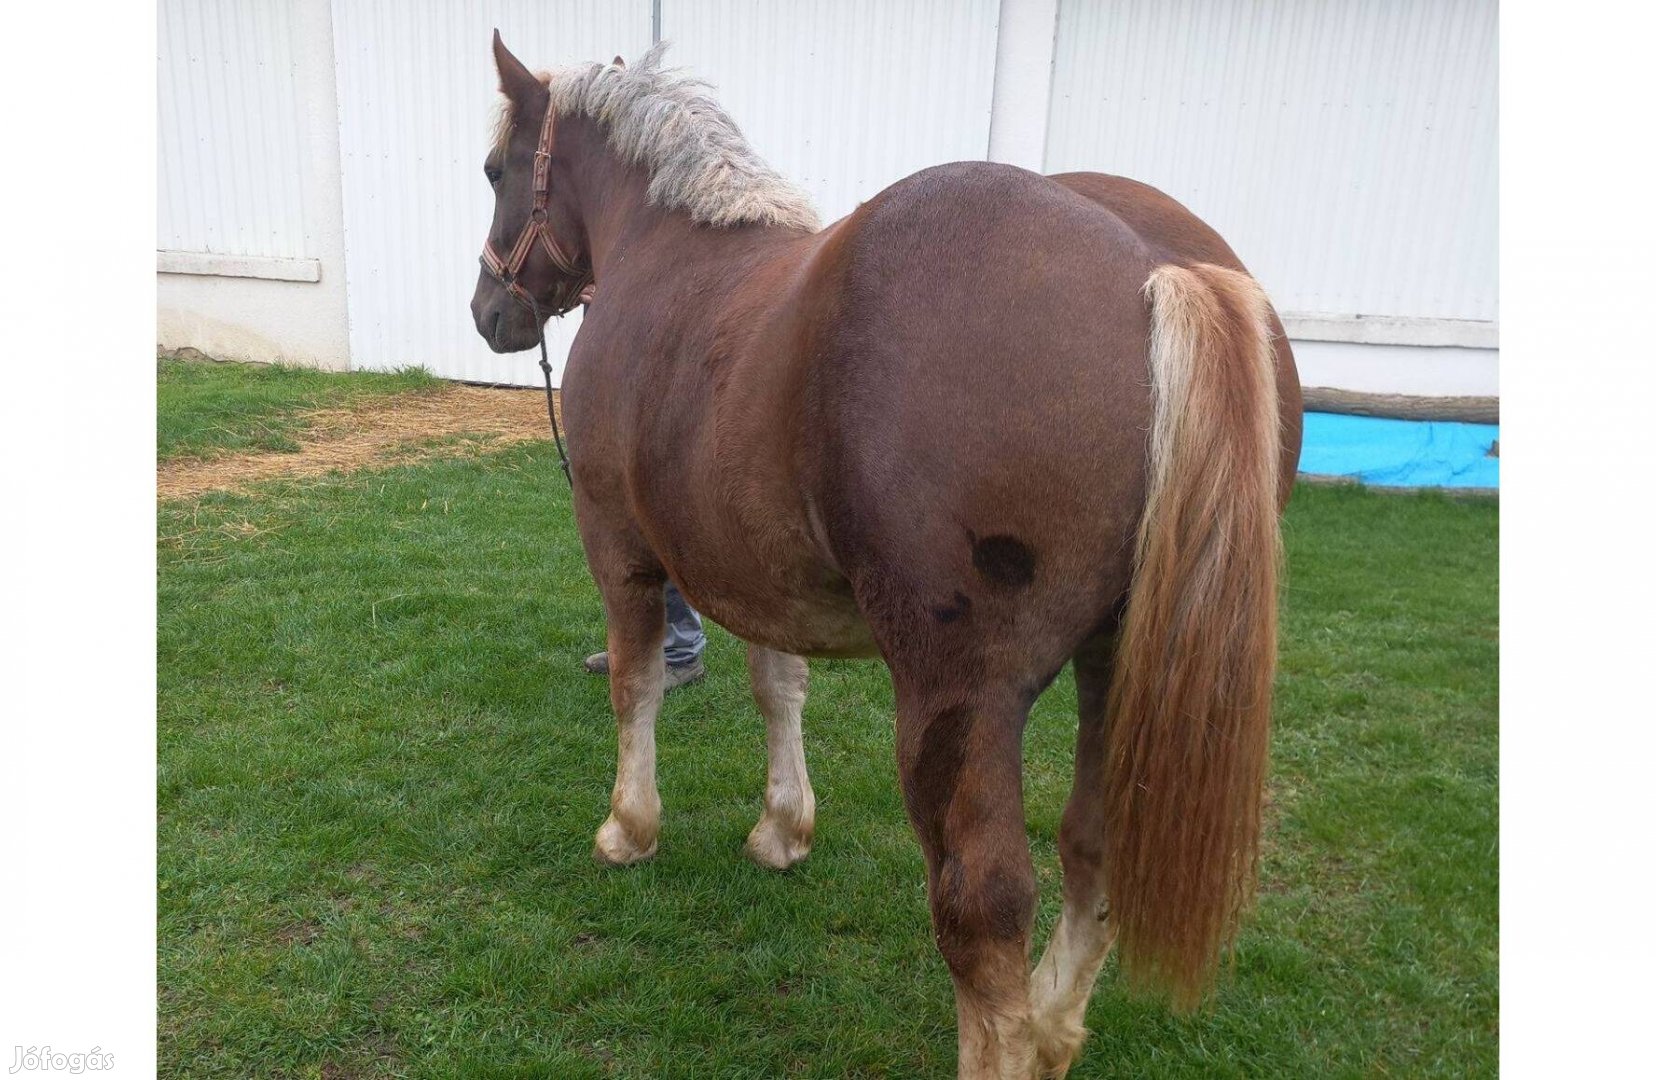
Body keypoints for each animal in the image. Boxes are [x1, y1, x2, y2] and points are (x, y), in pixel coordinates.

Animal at [470, 33, 1304, 1080]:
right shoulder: (752, 567)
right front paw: (783, 830)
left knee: (983, 899)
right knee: (1093, 850)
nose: (486, 311)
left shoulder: (620, 545)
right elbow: (779, 688)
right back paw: (1049, 1029)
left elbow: (636, 686)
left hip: (960, 696)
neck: (666, 249)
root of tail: (1157, 268)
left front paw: (629, 828)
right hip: (1118, 664)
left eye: (494, 169)